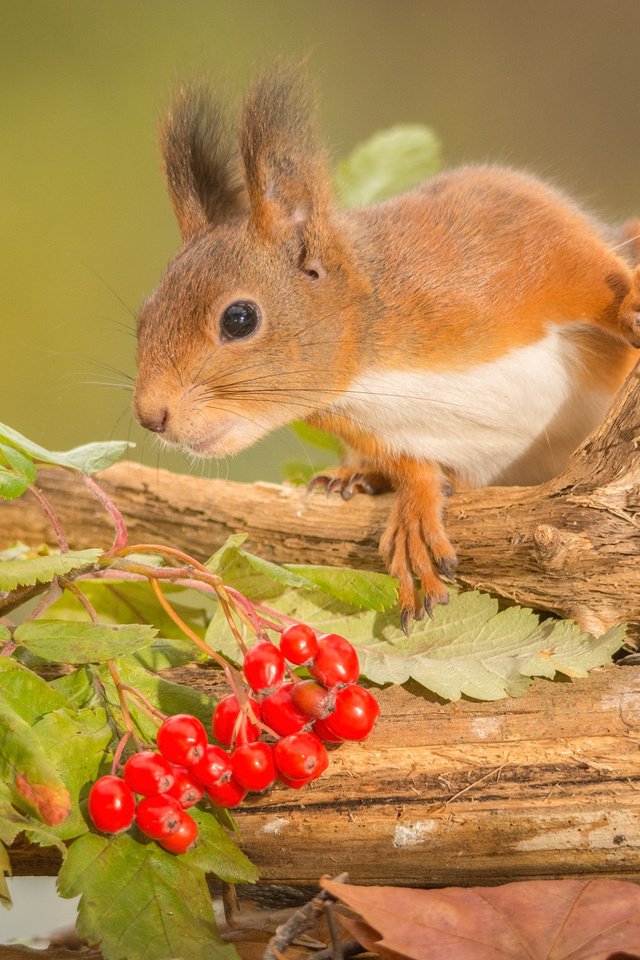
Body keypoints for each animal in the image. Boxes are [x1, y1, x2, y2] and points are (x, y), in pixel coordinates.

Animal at [131, 65, 640, 624]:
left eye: (239, 319)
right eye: (143, 319)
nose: (151, 416)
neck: (372, 370)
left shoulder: (507, 231)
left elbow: (589, 269)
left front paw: (628, 303)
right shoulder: (381, 431)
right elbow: (413, 466)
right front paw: (414, 507)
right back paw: (355, 477)